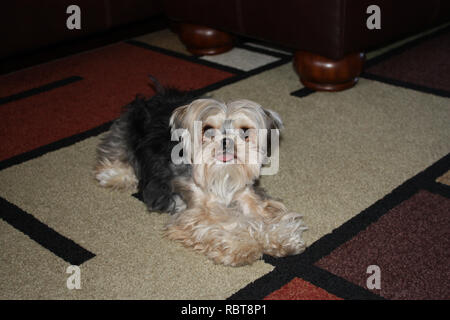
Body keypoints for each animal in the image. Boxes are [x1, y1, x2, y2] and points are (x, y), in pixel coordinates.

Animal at [94, 79, 306, 266]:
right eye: (208, 130)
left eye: (245, 131)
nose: (226, 141)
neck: (221, 177)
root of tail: (156, 96)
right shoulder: (197, 211)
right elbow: (229, 222)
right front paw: (243, 244)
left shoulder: (247, 194)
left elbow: (264, 214)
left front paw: (281, 238)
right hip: (127, 131)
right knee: (116, 150)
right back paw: (115, 175)